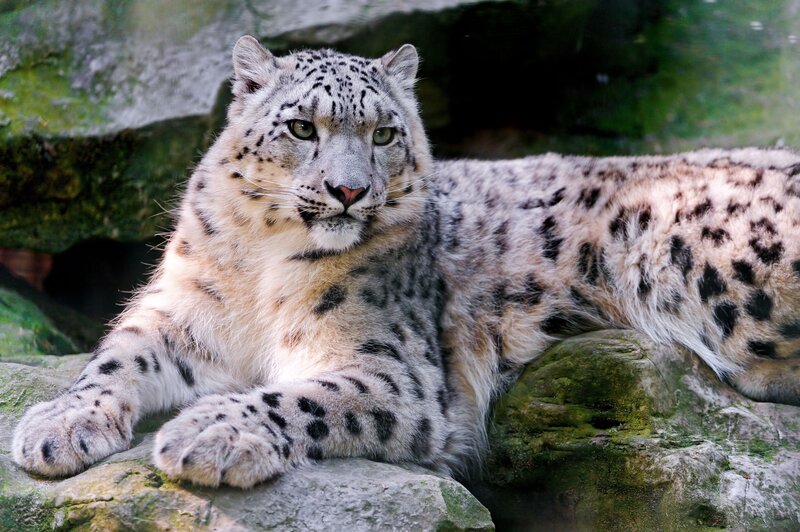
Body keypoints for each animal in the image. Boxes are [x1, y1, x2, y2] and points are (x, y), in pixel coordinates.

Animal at [13, 35, 800, 488]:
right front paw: (57, 426)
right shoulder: (182, 312)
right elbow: (116, 357)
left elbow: (300, 397)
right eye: (302, 127)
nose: (349, 189)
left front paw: (208, 433)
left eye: (386, 133)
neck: (261, 264)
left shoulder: (394, 369)